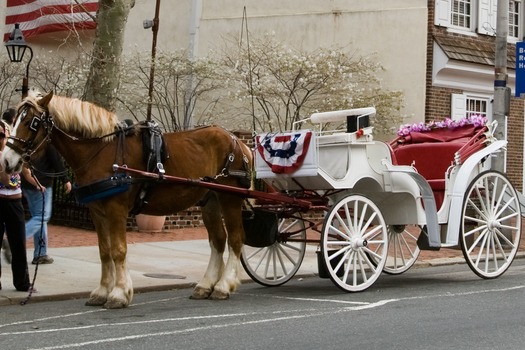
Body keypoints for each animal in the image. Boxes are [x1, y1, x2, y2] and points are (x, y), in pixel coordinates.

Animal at [1, 91, 252, 308]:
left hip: (229, 199)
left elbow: (118, 250)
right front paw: (102, 291)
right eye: (15, 120)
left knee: (235, 240)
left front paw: (119, 293)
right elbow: (104, 251)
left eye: (32, 123)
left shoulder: (117, 210)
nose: (6, 161)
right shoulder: (97, 211)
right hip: (210, 201)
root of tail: (237, 141)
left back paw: (223, 285)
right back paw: (206, 285)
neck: (100, 151)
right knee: (218, 241)